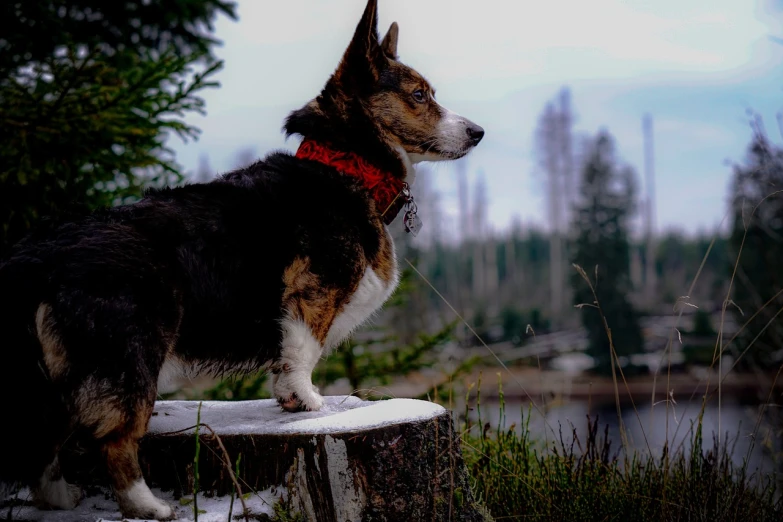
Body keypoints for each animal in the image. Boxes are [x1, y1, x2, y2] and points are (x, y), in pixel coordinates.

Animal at [0, 0, 484, 516]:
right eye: (418, 95)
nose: (478, 132)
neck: (345, 165)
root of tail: (36, 260)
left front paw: (289, 401)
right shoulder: (312, 291)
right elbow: (302, 350)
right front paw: (307, 400)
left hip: (51, 381)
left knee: (44, 445)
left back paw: (59, 499)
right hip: (129, 358)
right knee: (112, 440)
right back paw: (149, 507)